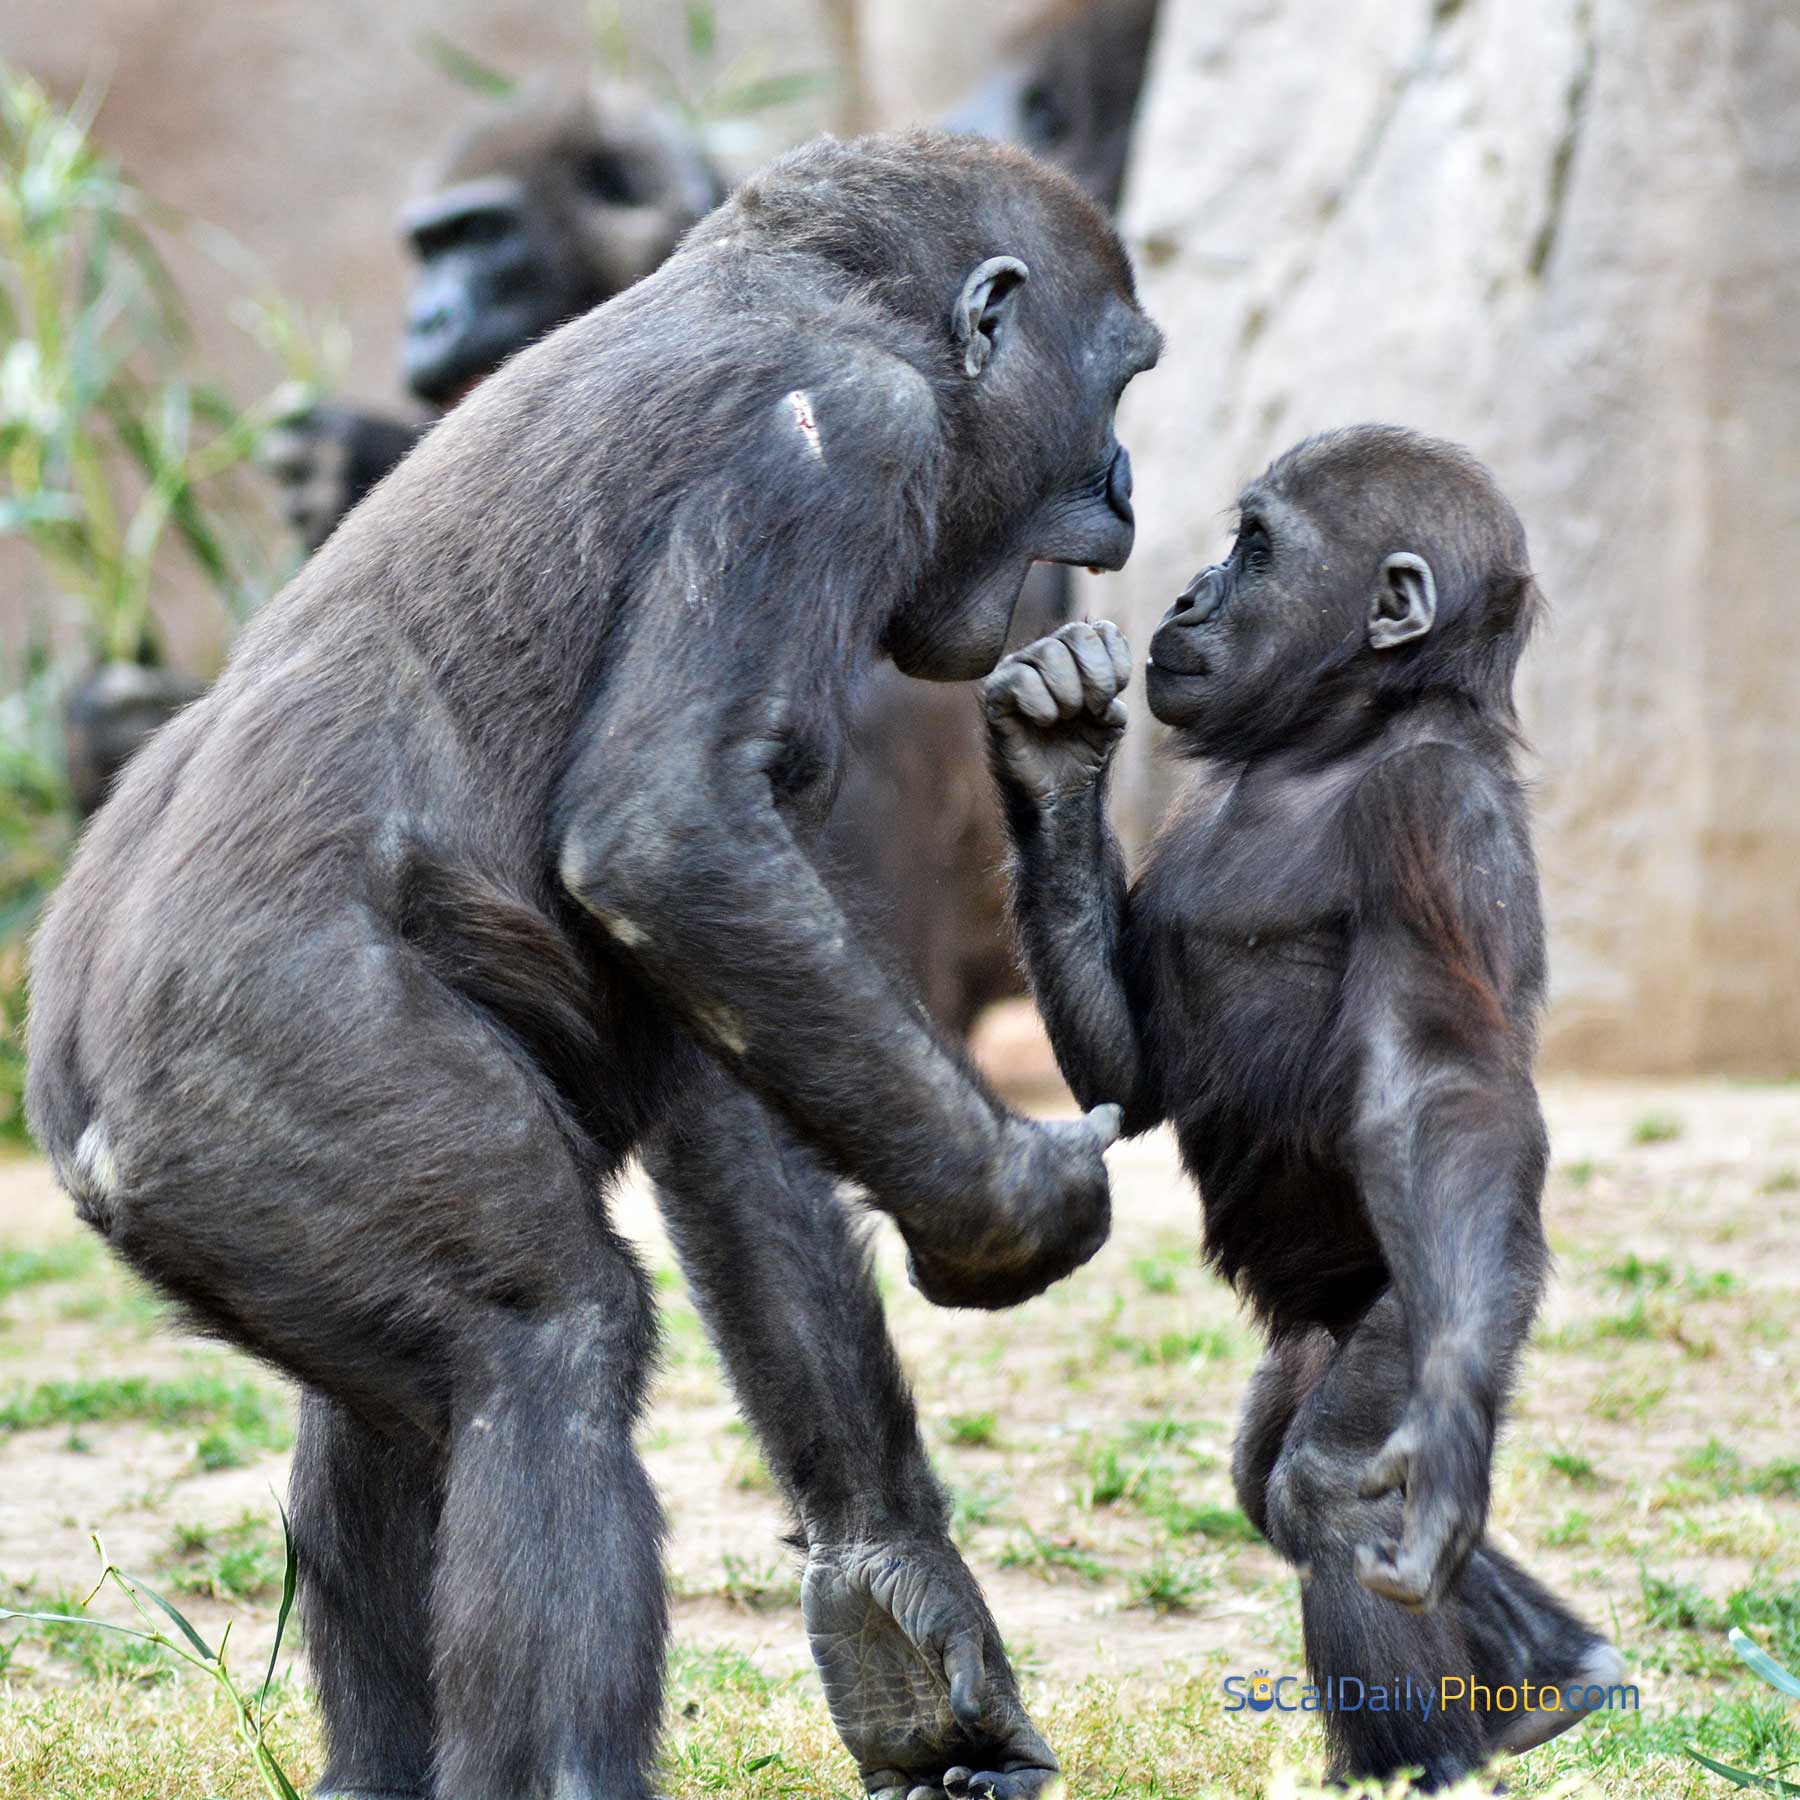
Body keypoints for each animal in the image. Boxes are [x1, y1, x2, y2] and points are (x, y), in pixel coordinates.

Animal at [986, 428, 1634, 1792]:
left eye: (1256, 549)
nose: (1186, 594)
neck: (1338, 736)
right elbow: (1134, 1072)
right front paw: (1053, 753)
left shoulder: (1428, 815)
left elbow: (1438, 1088)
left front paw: (1446, 1426)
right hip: (1314, 1332)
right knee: (1263, 1469)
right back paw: (1554, 1677)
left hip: (1429, 1294)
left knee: (1330, 1483)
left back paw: (1431, 1751)